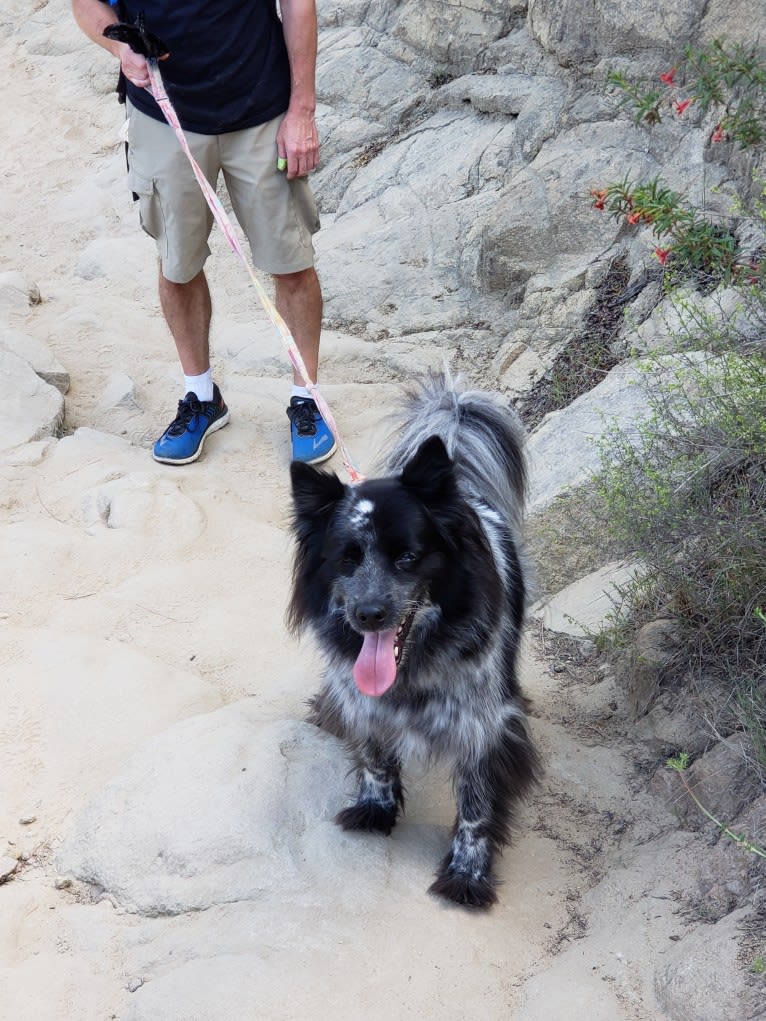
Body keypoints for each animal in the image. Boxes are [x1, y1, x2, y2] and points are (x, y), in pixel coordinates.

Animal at [288, 377, 539, 910]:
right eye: (346, 558)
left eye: (407, 556)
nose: (368, 615)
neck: (415, 666)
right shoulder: (365, 701)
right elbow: (375, 754)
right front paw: (374, 810)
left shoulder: (483, 722)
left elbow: (475, 802)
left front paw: (466, 877)